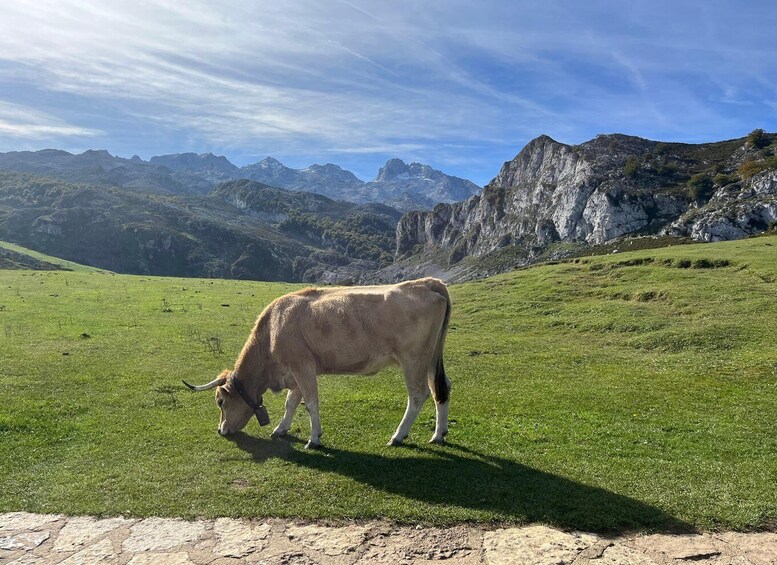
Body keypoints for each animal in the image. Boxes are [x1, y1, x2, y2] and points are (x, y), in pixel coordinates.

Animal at [184, 276, 452, 448]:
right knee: (442, 389)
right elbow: (291, 403)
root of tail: (429, 282)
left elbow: (310, 402)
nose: (221, 430)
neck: (272, 331)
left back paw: (398, 436)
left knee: (418, 395)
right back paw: (439, 434)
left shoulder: (303, 366)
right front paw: (281, 429)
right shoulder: (294, 373)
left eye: (220, 401)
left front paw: (314, 439)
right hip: (431, 358)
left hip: (413, 359)